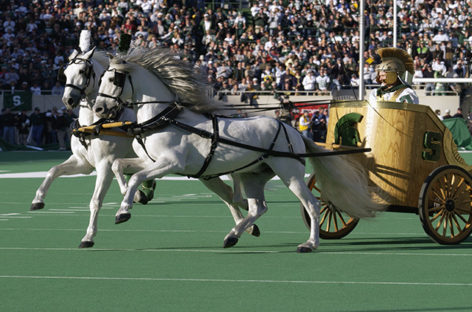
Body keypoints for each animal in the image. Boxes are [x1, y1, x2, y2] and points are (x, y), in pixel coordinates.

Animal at [93, 49, 384, 254]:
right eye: (101, 78)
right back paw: (233, 235)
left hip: (289, 173)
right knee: (258, 207)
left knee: (312, 204)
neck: (164, 119)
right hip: (252, 176)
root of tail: (293, 130)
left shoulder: (169, 163)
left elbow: (135, 177)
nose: (98, 109)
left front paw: (123, 211)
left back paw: (310, 243)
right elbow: (120, 166)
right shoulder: (148, 160)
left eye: (113, 79)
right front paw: (129, 199)